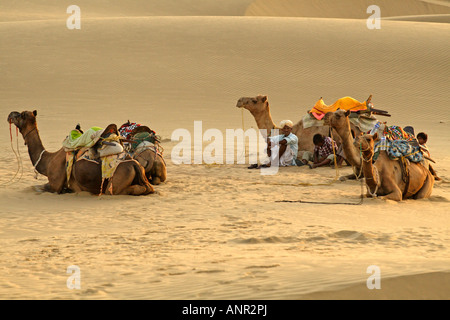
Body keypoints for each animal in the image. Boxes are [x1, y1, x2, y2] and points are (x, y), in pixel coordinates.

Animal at [7, 110, 154, 195]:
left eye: (20, 115)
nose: (10, 114)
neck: (48, 161)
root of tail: (135, 164)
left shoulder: (55, 185)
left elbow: (35, 187)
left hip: (114, 185)